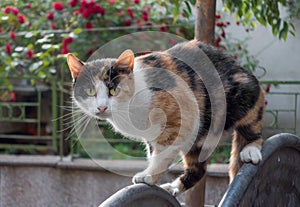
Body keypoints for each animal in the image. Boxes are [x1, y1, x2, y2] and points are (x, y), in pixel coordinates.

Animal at [67, 40, 264, 196]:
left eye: (113, 90)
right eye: (90, 91)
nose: (102, 107)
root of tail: (238, 65)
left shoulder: (179, 119)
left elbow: (162, 154)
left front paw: (148, 175)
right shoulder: (151, 137)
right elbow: (155, 153)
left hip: (243, 95)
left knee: (253, 126)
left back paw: (251, 150)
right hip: (198, 140)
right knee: (198, 169)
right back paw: (173, 187)